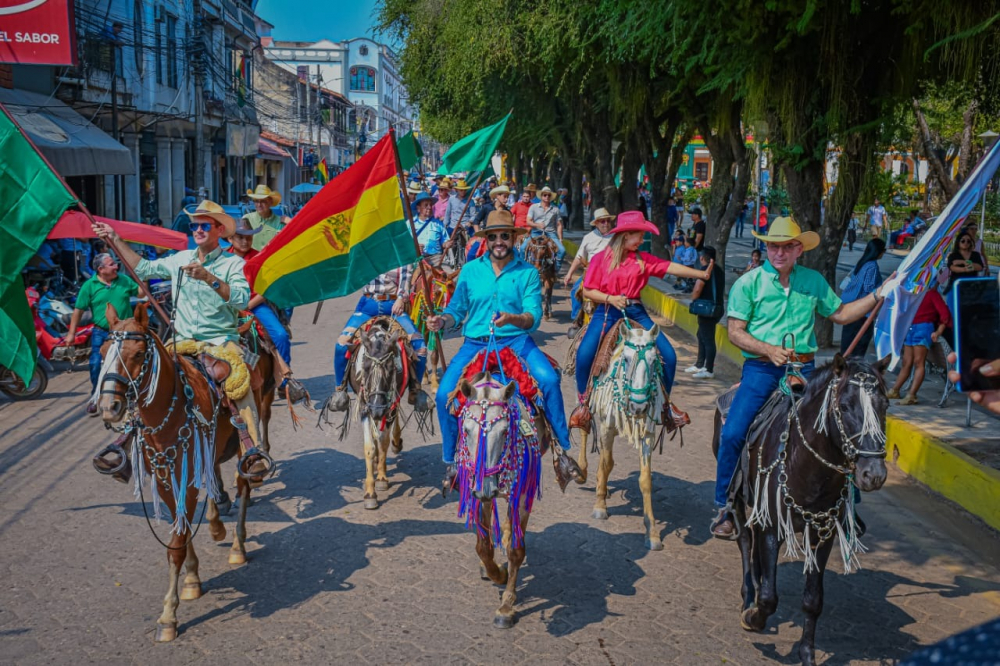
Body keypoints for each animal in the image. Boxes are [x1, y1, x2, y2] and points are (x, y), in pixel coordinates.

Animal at [95, 304, 262, 640]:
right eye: (104, 351)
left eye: (137, 353)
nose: (108, 406)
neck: (166, 413)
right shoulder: (165, 479)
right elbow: (180, 532)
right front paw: (192, 580)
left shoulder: (187, 477)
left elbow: (176, 544)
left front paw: (168, 616)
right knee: (215, 478)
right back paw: (216, 523)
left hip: (244, 440)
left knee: (243, 485)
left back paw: (237, 545)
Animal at [712, 356, 892, 660]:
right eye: (845, 406)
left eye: (885, 406)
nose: (874, 474)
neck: (807, 465)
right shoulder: (772, 526)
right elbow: (769, 598)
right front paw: (753, 617)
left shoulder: (823, 534)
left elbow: (812, 600)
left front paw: (807, 651)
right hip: (736, 498)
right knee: (746, 542)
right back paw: (748, 596)